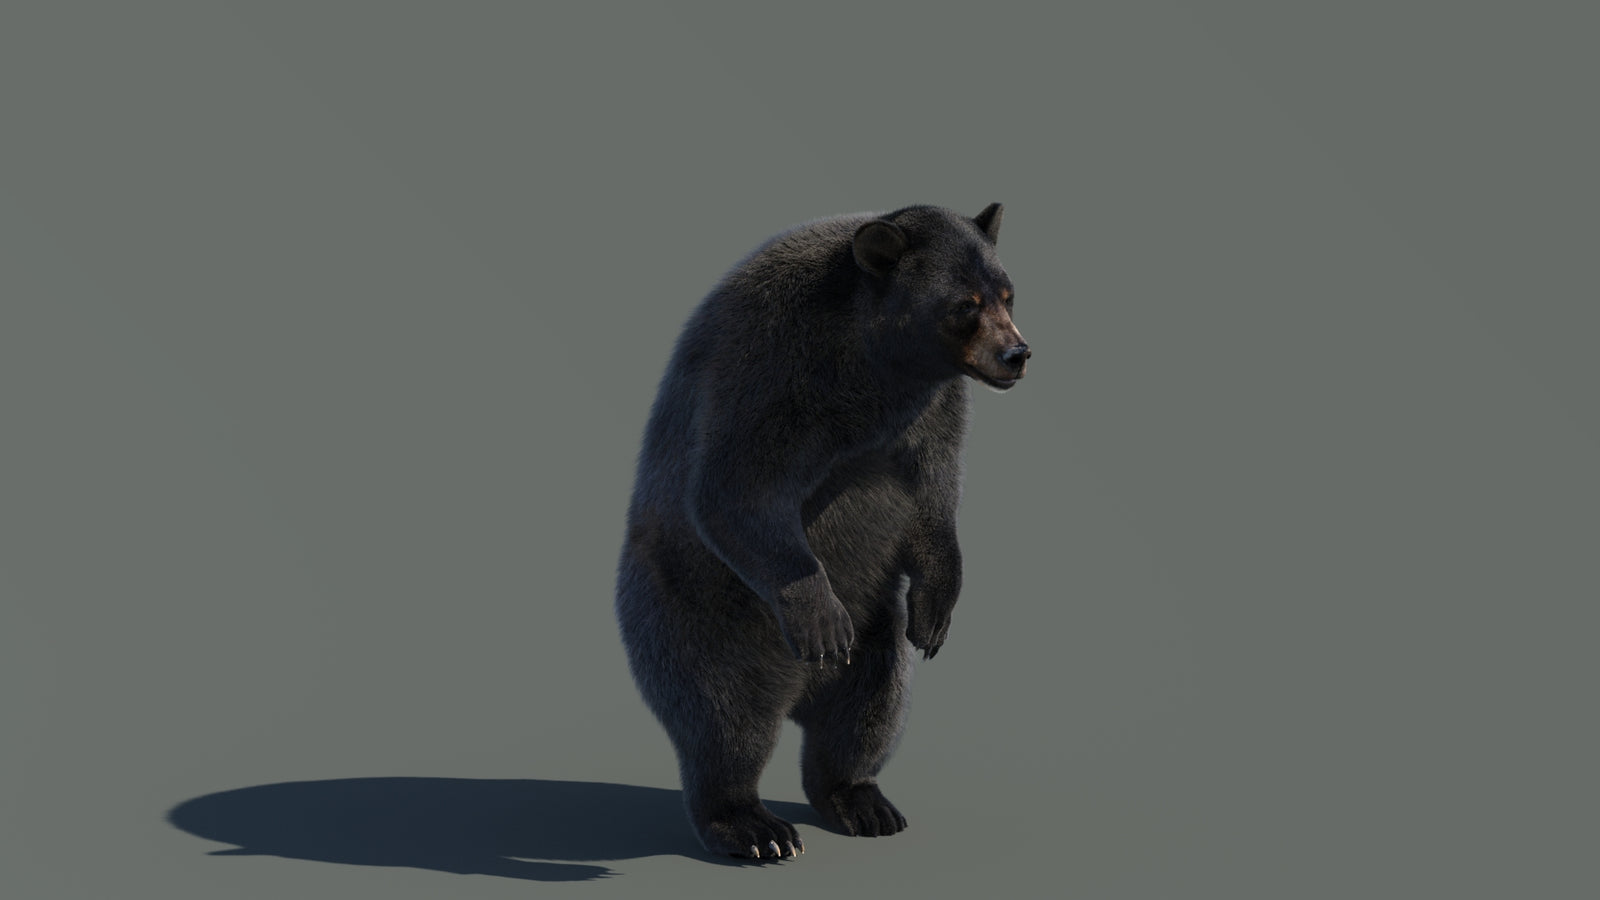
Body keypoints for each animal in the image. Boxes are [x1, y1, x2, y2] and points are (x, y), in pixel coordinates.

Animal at [614, 203, 1029, 860]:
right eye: (965, 304)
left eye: (1008, 293)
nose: (1018, 354)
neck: (876, 364)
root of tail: (798, 694)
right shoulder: (778, 367)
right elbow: (737, 488)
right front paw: (822, 618)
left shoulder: (931, 406)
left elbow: (934, 494)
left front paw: (936, 615)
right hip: (700, 614)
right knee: (724, 719)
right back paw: (753, 826)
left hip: (878, 628)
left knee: (868, 709)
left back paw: (862, 799)